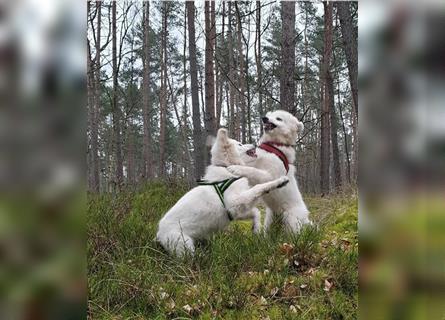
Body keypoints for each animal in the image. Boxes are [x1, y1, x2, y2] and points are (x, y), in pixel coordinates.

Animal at [156, 129, 288, 256]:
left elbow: (256, 212)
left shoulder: (234, 211)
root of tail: (158, 235)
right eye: (239, 144)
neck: (226, 168)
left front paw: (256, 229)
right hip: (185, 246)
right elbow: (259, 187)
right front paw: (280, 181)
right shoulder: (235, 203)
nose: (255, 143)